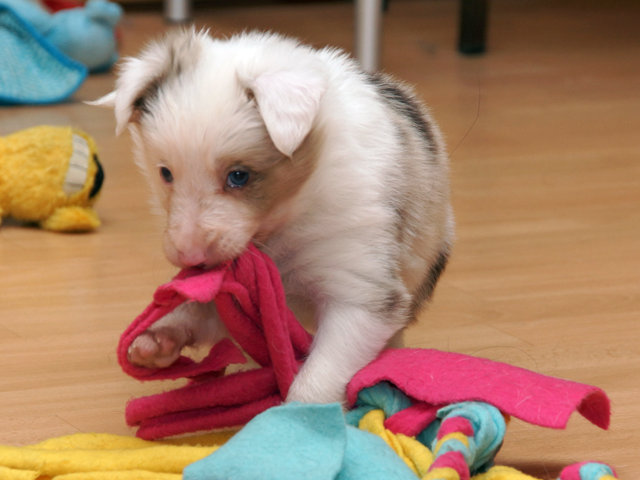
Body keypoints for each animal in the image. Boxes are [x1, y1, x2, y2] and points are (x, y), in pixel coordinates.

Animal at [93, 29, 454, 404]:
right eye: (165, 173)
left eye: (239, 176)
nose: (189, 256)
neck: (284, 224)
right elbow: (202, 311)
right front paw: (158, 338)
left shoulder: (358, 282)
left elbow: (321, 373)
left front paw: (293, 416)